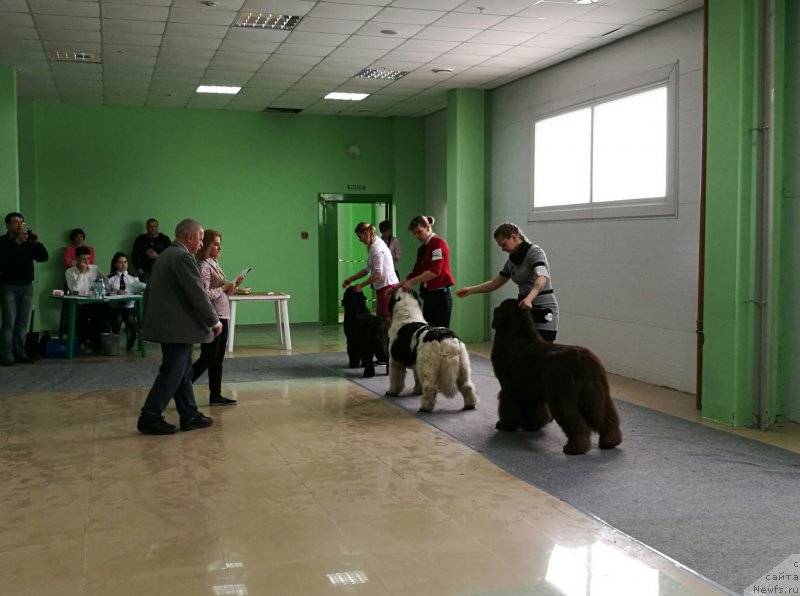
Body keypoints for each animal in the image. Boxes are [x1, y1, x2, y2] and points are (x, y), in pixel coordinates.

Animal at [490, 298, 620, 456]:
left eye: (500, 307)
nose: (494, 308)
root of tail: (583, 359)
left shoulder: (509, 389)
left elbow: (507, 408)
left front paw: (504, 425)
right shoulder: (531, 392)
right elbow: (535, 410)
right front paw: (532, 425)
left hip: (561, 396)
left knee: (575, 422)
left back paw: (574, 448)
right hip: (597, 394)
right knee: (606, 418)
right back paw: (611, 441)